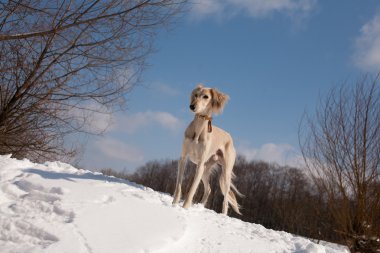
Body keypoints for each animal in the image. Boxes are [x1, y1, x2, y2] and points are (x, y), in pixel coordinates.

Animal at [173, 84, 242, 214]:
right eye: (195, 95)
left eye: (206, 96)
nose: (192, 106)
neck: (198, 129)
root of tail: (229, 136)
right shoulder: (183, 158)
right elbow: (178, 185)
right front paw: (174, 204)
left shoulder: (199, 165)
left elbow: (192, 189)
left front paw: (185, 207)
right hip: (206, 169)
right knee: (209, 189)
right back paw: (200, 206)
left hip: (225, 173)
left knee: (225, 199)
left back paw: (223, 215)